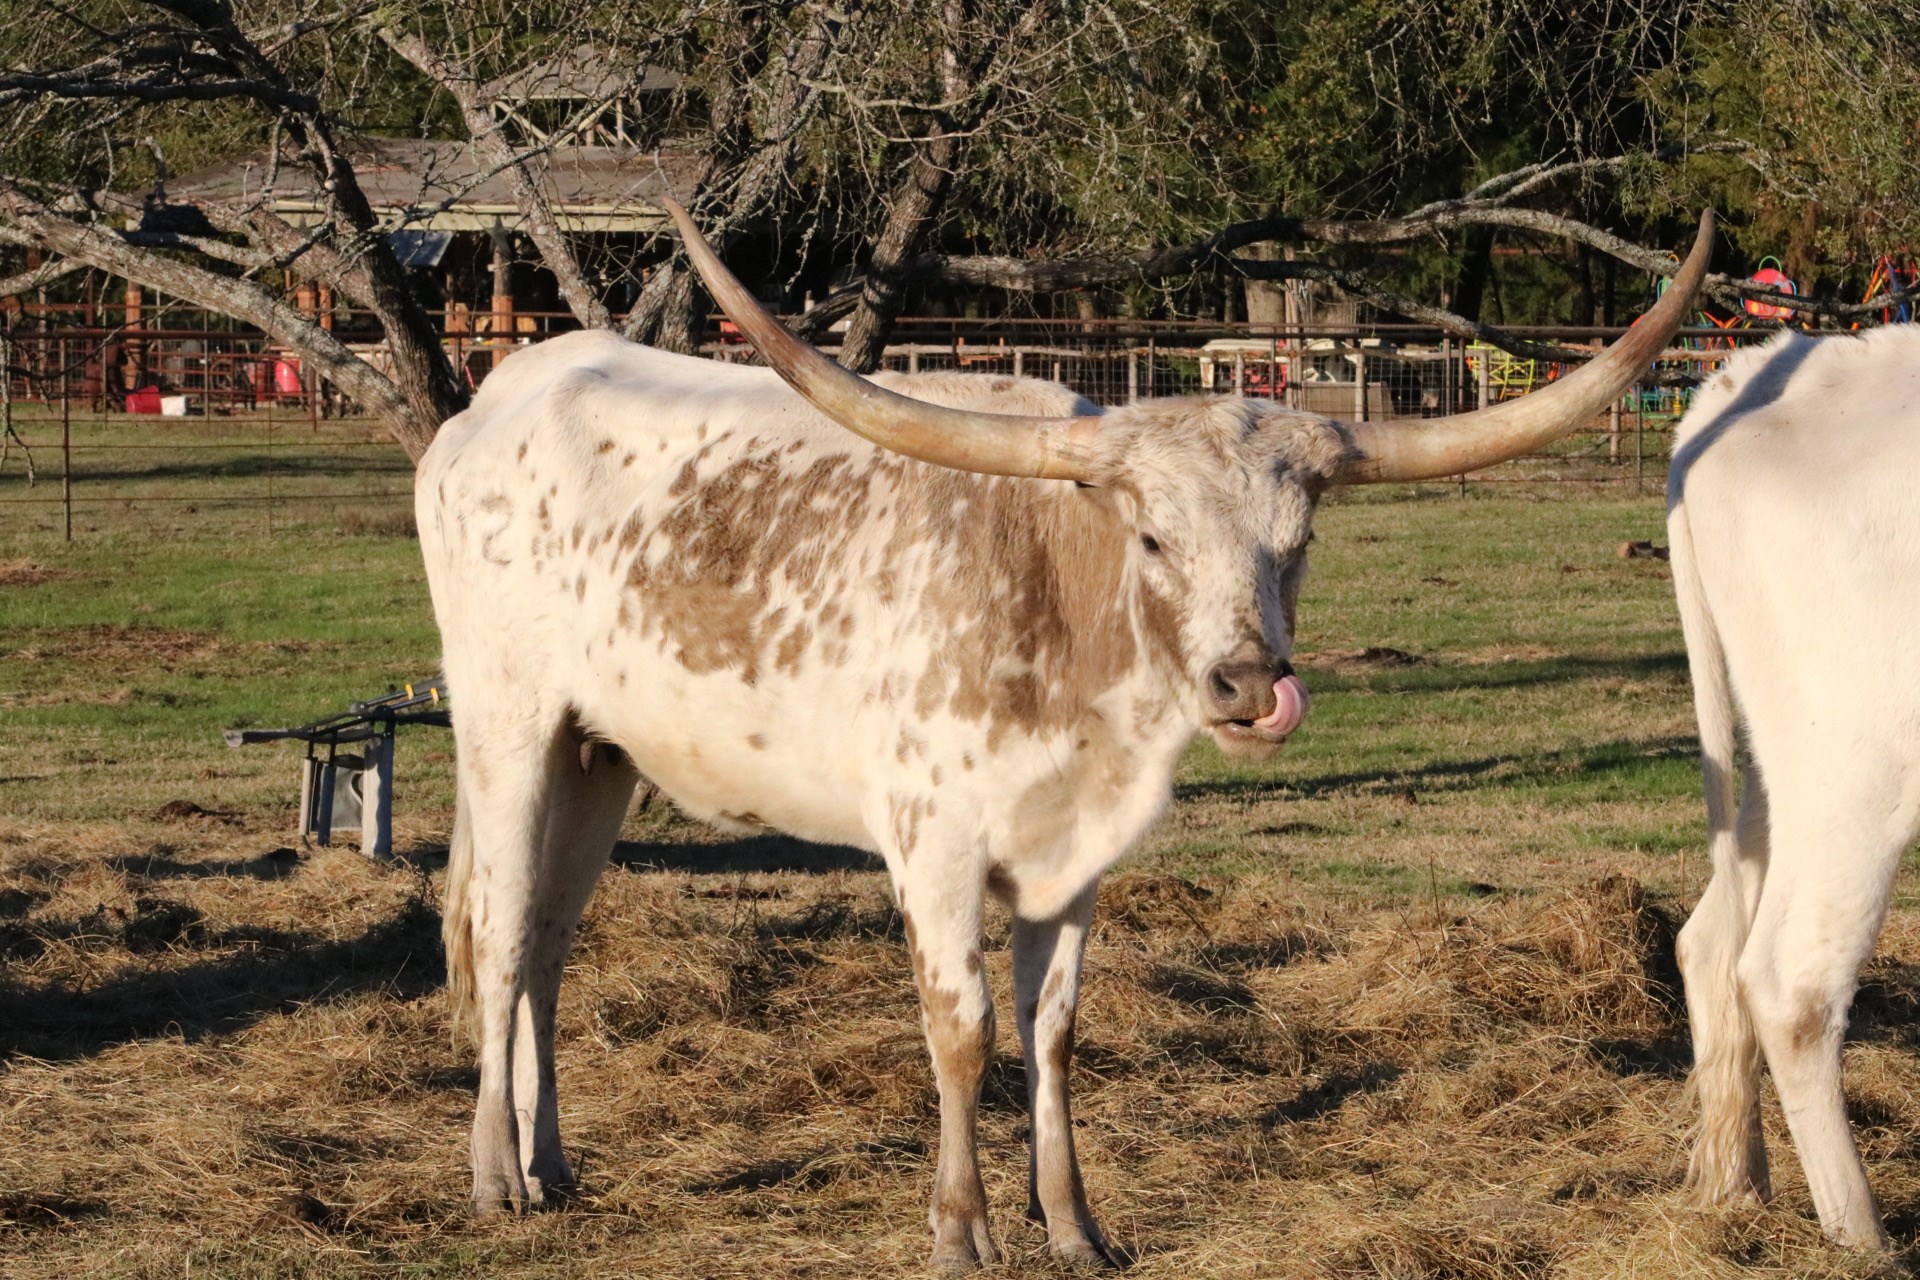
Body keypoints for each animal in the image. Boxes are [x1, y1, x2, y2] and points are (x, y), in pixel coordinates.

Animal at [416, 202, 1711, 1270]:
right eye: (1152, 537)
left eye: (1296, 542)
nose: (1250, 682)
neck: (1058, 604)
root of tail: (497, 397)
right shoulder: (932, 843)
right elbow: (963, 1028)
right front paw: (961, 1227)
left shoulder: (1077, 856)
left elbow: (1053, 1031)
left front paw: (1075, 1222)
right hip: (506, 723)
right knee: (497, 928)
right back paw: (494, 1175)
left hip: (597, 753)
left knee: (546, 941)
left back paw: (553, 1160)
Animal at [1671, 324, 1920, 1251]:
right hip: (1858, 761)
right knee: (1791, 983)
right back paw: (1864, 1240)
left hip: (1782, 769)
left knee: (1710, 940)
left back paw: (1735, 1189)